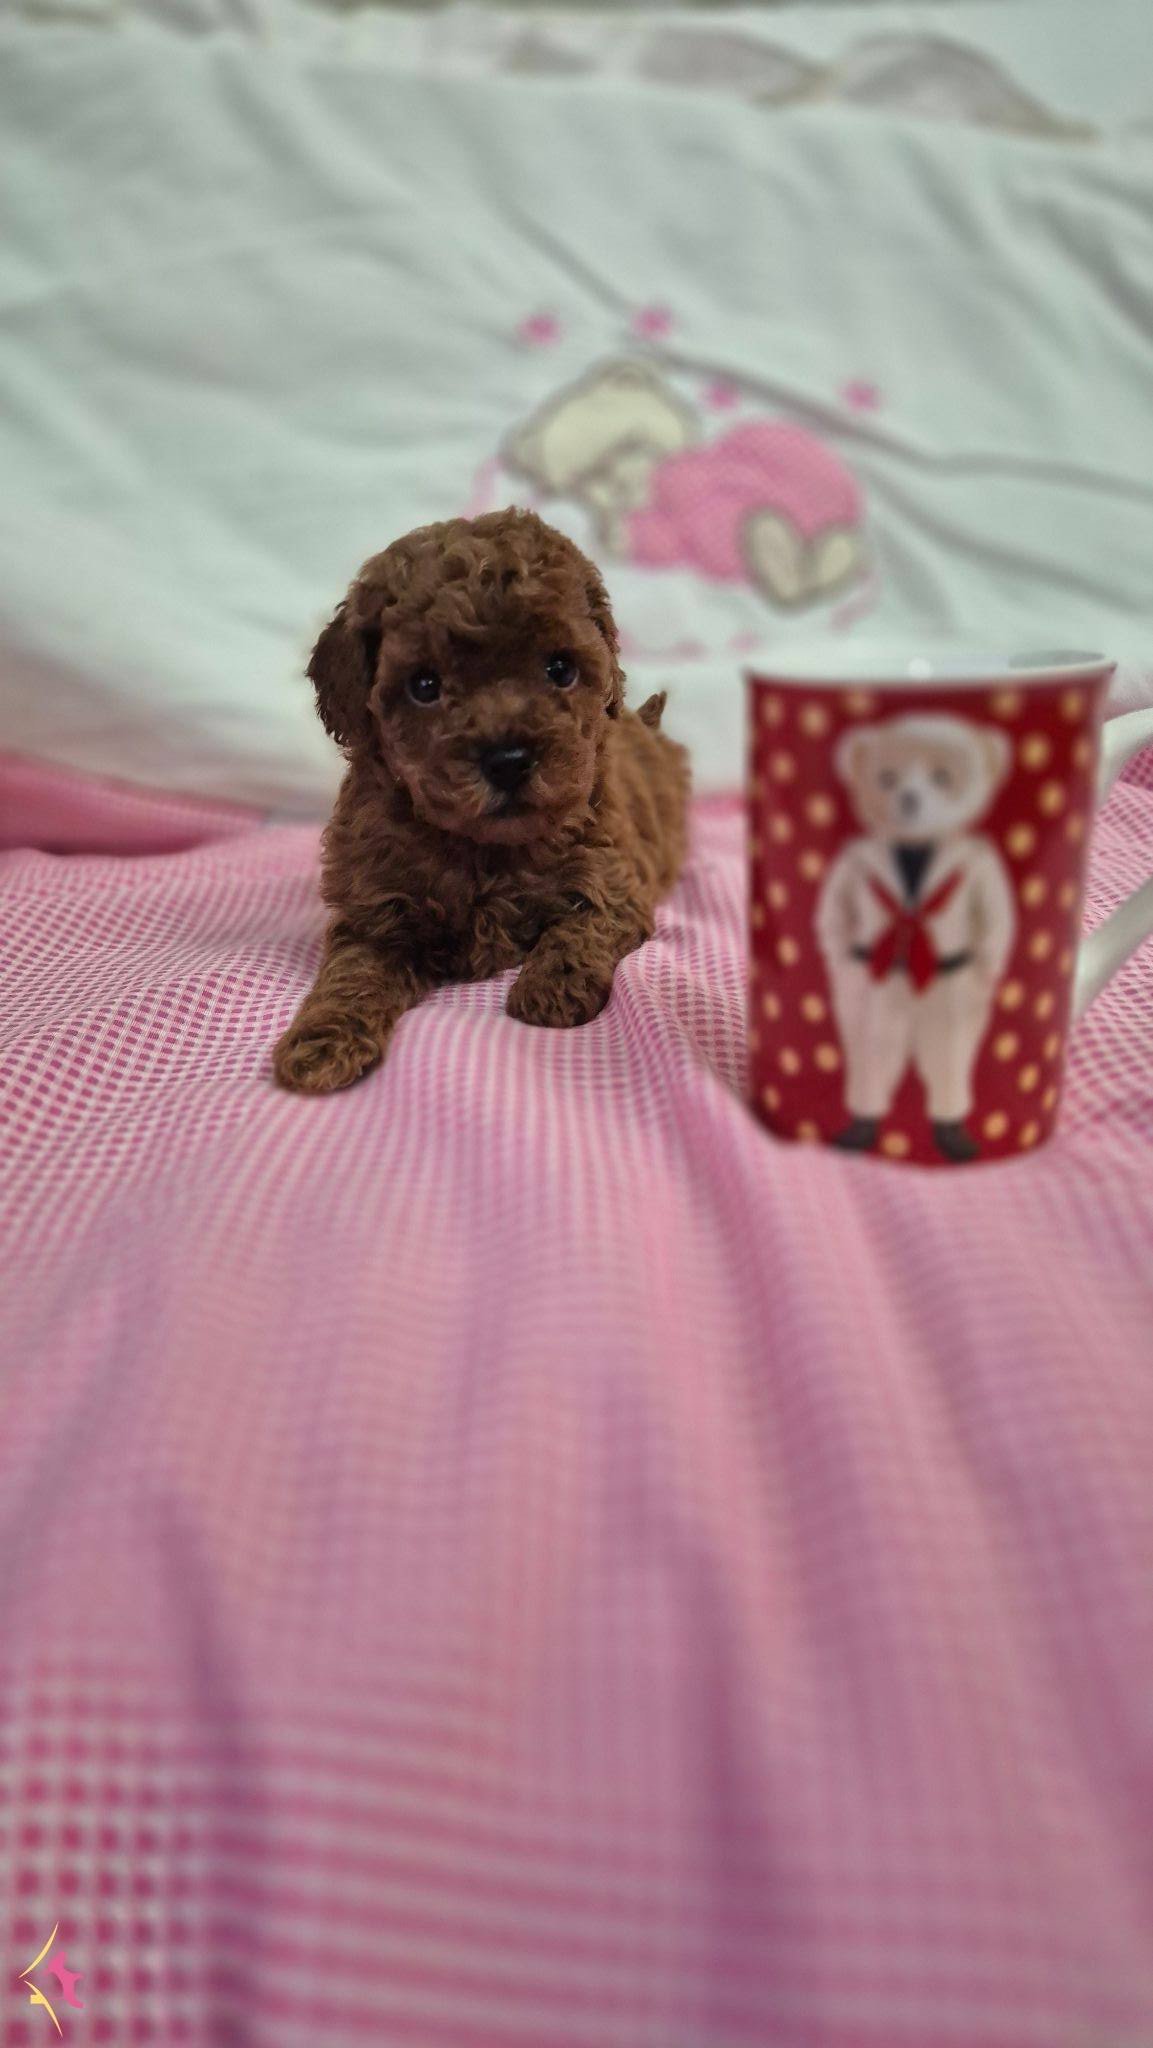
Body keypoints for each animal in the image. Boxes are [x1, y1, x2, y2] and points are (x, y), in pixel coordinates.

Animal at [274, 508, 690, 1094]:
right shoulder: (375, 914)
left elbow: (581, 928)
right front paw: (321, 1044)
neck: (482, 848)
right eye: (425, 685)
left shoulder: (613, 881)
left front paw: (550, 988)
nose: (509, 760)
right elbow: (353, 975)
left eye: (560, 669)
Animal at [815, 713, 1016, 1161]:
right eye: (886, 777)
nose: (909, 798)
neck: (915, 849)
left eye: (943, 776)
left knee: (949, 1059)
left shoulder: (979, 869)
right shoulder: (855, 866)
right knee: (871, 1055)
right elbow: (838, 905)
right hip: (869, 1003)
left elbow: (993, 914)